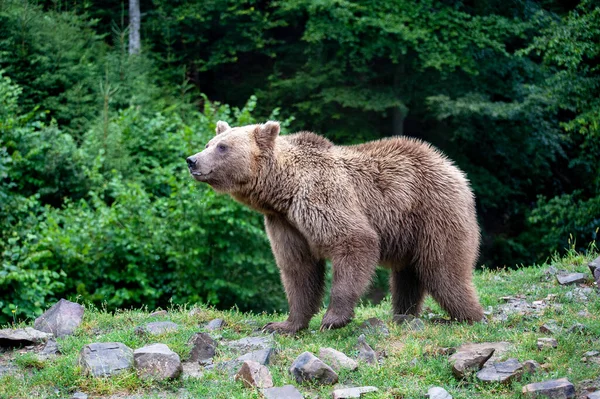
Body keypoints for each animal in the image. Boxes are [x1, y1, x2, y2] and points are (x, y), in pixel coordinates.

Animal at [185, 120, 486, 332]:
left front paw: (333, 318)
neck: (283, 191)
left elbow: (354, 241)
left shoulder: (321, 197)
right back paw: (403, 315)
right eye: (210, 142)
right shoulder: (285, 223)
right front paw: (283, 324)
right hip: (408, 231)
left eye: (222, 147)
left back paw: (468, 315)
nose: (192, 160)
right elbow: (298, 269)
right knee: (407, 275)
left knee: (443, 269)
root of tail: (451, 166)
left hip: (434, 212)